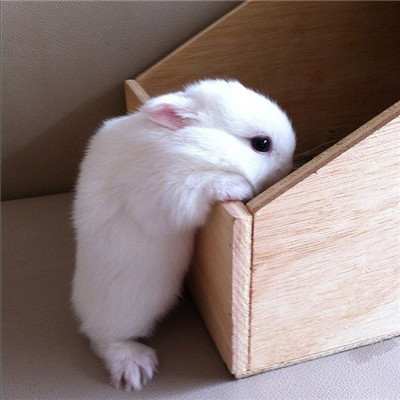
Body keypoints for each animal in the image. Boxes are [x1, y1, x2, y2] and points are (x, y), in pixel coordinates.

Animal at [71, 78, 296, 391]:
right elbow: (207, 185)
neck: (190, 145)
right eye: (261, 144)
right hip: (127, 311)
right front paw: (237, 187)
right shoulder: (172, 191)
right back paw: (135, 368)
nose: (288, 166)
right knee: (104, 340)